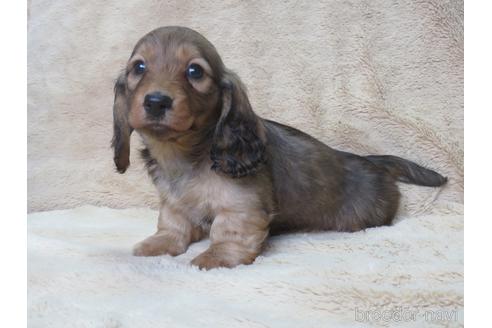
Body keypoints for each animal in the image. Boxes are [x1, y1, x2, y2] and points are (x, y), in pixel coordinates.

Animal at [111, 26, 446, 270]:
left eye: (195, 72)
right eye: (139, 67)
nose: (156, 101)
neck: (185, 155)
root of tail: (370, 162)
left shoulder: (241, 205)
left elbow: (229, 231)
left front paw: (217, 256)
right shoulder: (174, 201)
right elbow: (173, 223)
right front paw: (160, 243)